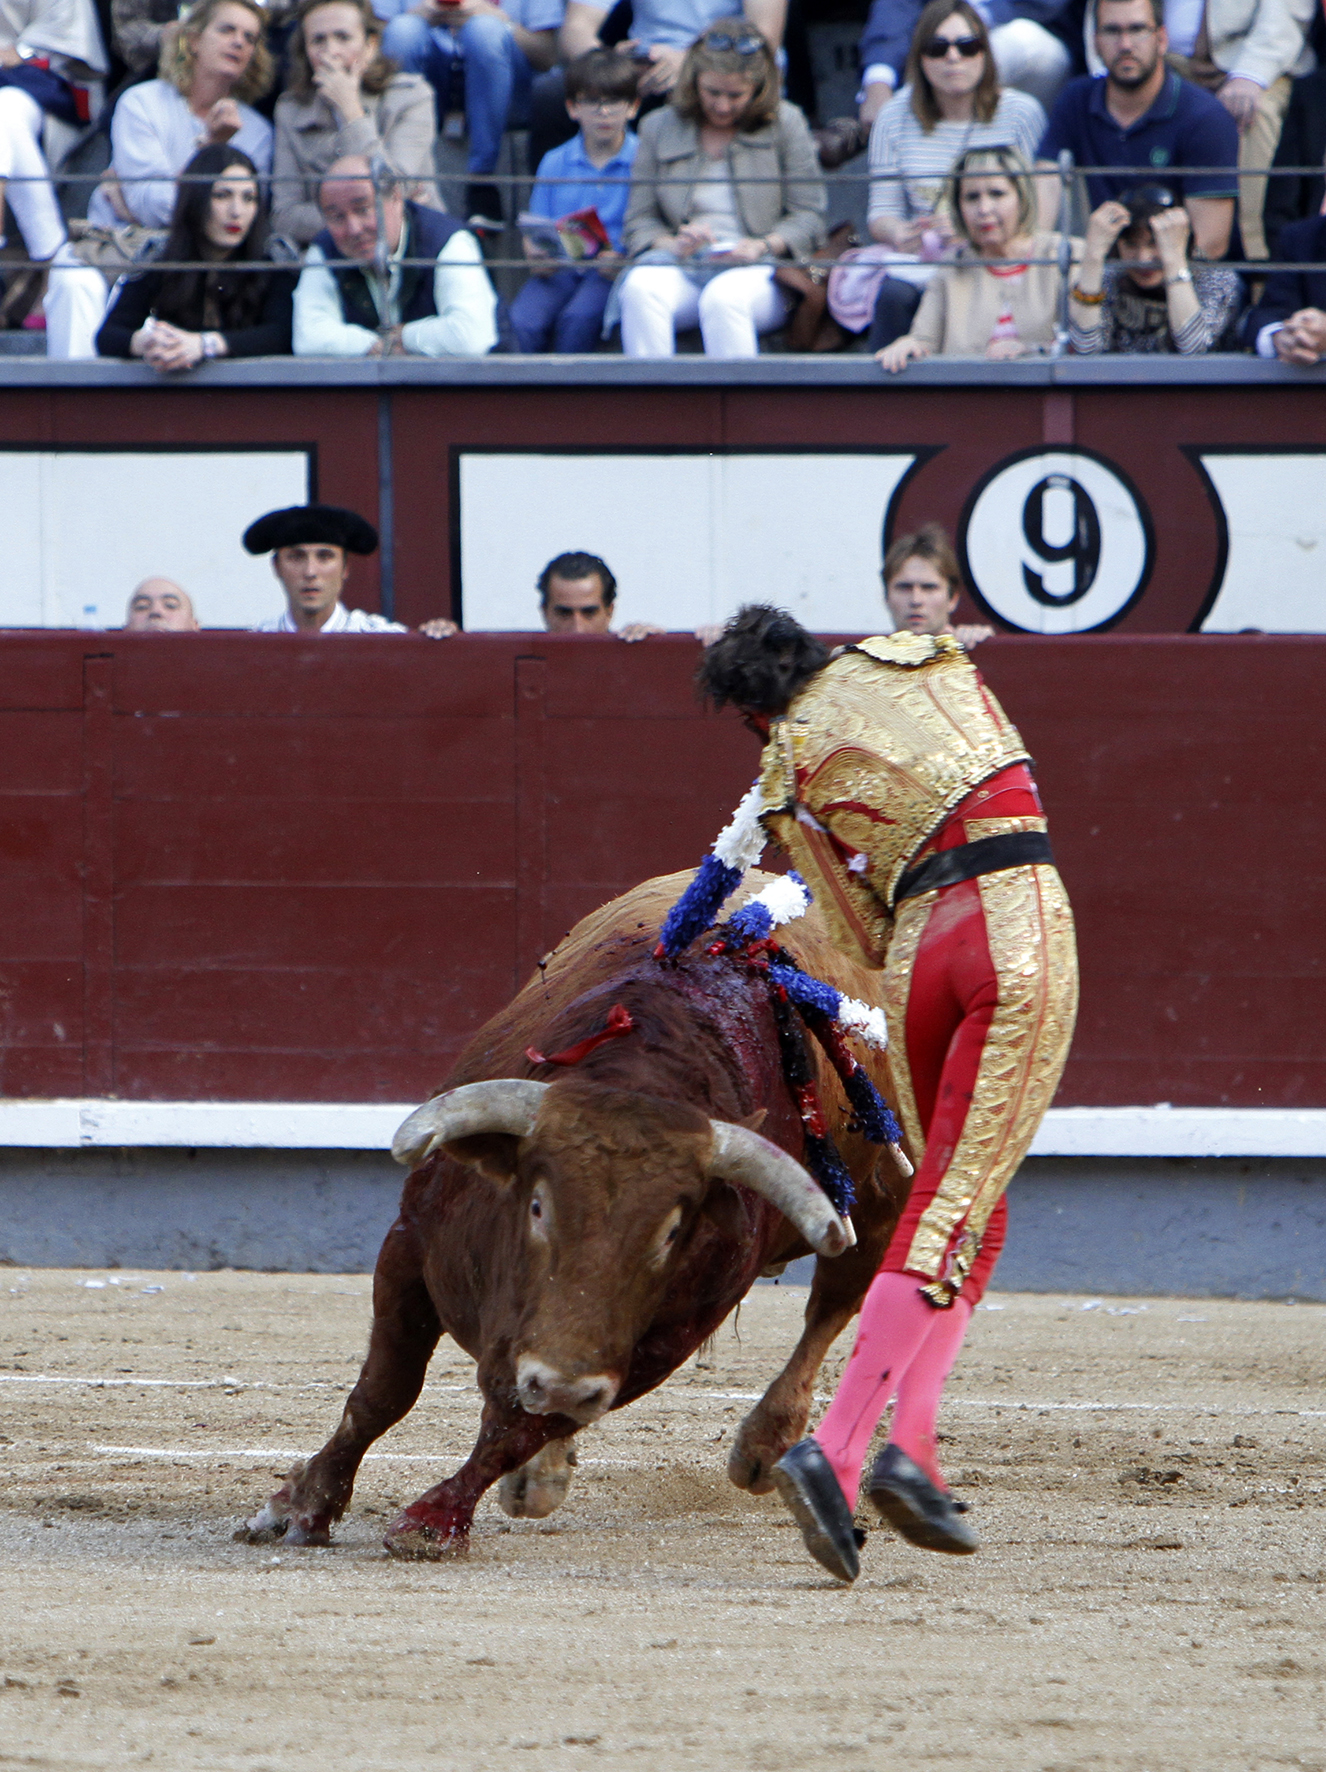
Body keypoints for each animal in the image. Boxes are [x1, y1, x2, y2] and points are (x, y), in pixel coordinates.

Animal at [242, 868, 914, 1552]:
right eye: (538, 1206)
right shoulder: (409, 1245)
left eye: (673, 1232)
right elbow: (386, 1389)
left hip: (880, 1212)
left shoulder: (654, 1344)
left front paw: (434, 1519)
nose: (561, 1377)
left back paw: (760, 1448)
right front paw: (302, 1506)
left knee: (830, 1310)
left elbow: (516, 1429)